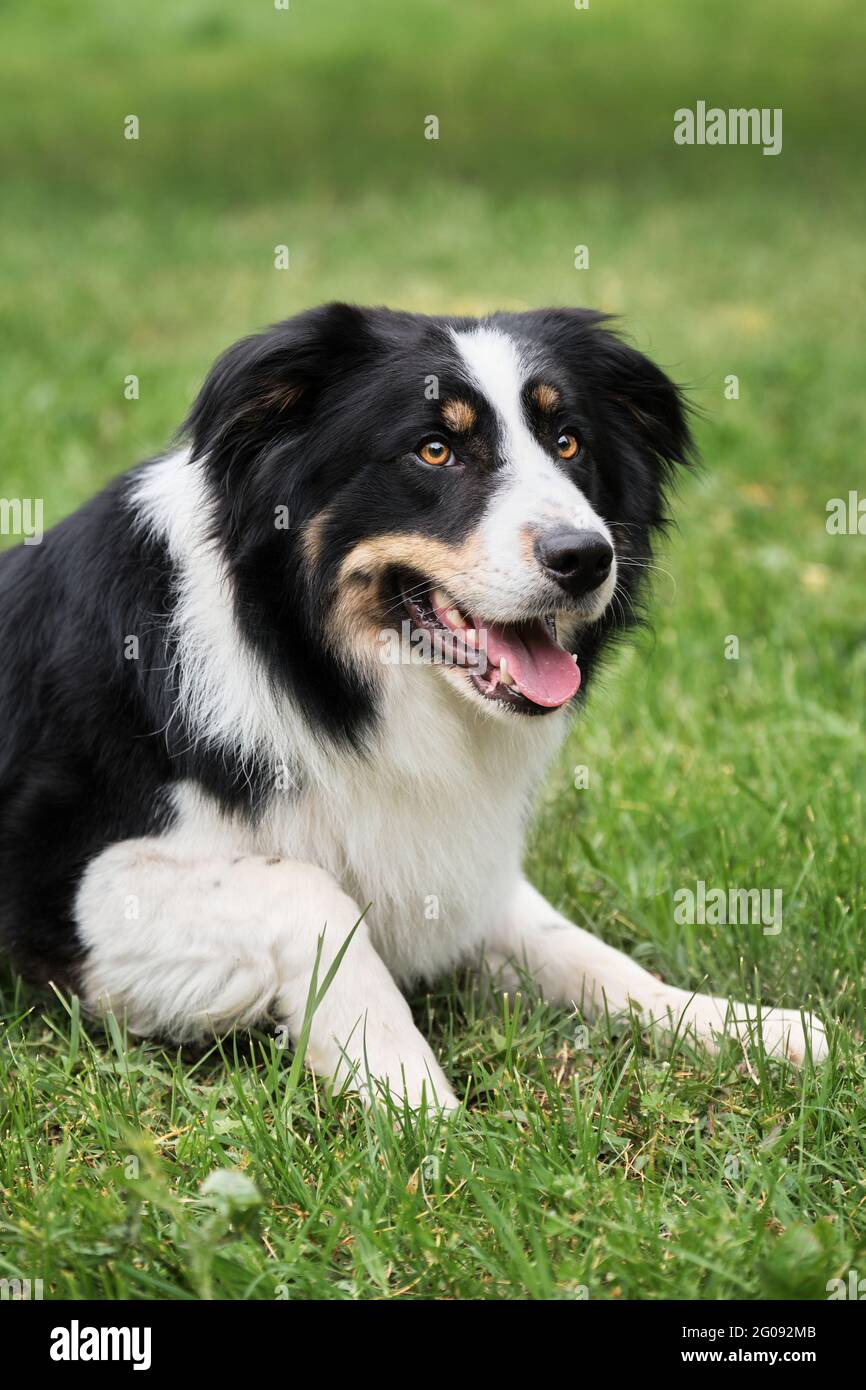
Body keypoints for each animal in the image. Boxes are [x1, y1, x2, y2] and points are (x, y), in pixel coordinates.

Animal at [0, 307, 828, 1106]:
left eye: (568, 442)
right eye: (434, 450)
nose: (587, 557)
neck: (323, 668)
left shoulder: (452, 861)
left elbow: (580, 949)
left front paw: (740, 1024)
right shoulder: (68, 888)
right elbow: (310, 892)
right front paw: (410, 1092)